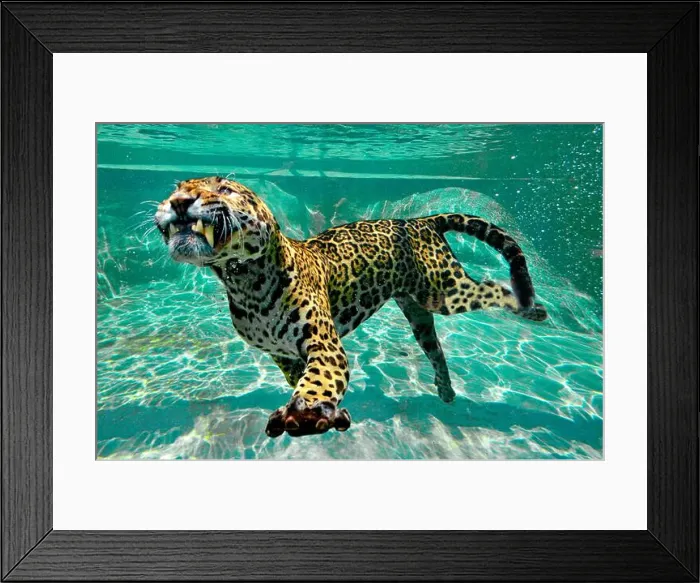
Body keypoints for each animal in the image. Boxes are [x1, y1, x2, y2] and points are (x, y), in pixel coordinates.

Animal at [154, 176, 547, 438]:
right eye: (177, 187)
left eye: (224, 190)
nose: (178, 201)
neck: (245, 284)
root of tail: (420, 221)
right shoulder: (281, 354)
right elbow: (300, 376)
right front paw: (323, 409)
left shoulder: (323, 344)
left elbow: (318, 378)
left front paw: (308, 410)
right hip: (417, 309)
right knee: (435, 348)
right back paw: (446, 391)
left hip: (444, 290)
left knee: (491, 288)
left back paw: (533, 309)